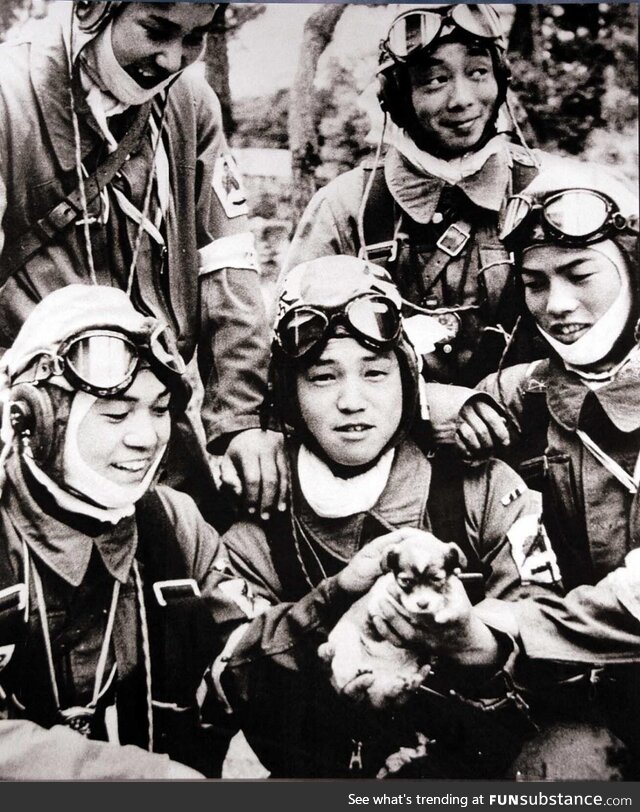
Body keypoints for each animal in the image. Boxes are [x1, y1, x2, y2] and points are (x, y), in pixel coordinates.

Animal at [318, 536, 464, 708]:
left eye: (436, 579)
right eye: (406, 581)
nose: (422, 604)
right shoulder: (377, 609)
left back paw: (405, 682)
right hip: (345, 636)